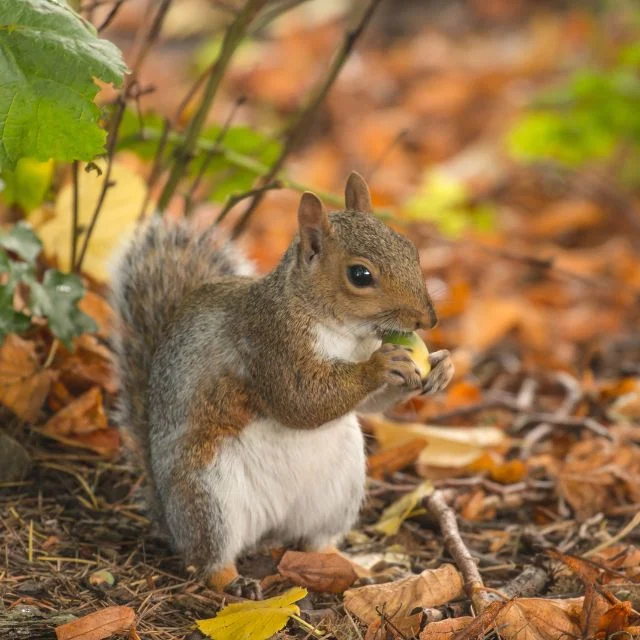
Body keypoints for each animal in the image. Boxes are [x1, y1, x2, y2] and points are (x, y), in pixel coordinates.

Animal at [112, 172, 456, 596]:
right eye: (360, 275)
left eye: (410, 249)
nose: (428, 320)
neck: (342, 331)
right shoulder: (269, 342)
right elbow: (300, 400)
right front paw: (380, 365)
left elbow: (366, 406)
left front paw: (441, 367)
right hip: (209, 494)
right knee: (209, 557)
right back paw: (233, 582)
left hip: (337, 492)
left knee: (317, 541)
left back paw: (354, 567)